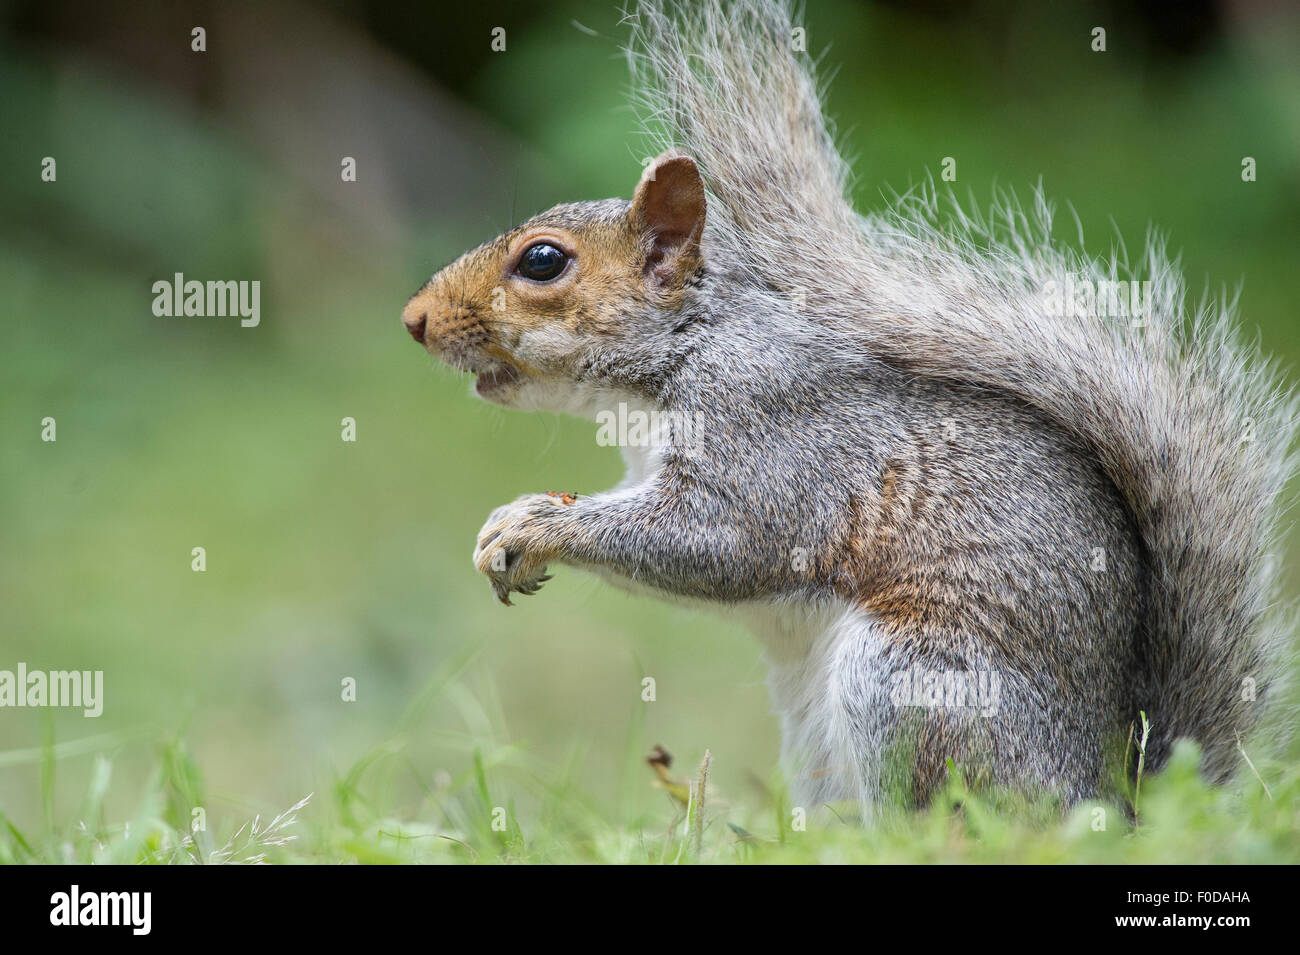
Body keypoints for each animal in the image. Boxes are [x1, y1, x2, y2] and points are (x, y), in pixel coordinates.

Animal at [400, 0, 1294, 810]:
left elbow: (713, 543)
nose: (413, 319)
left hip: (910, 682)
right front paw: (508, 527)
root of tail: (1106, 794)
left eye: (543, 262)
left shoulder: (771, 438)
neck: (676, 360)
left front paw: (531, 526)